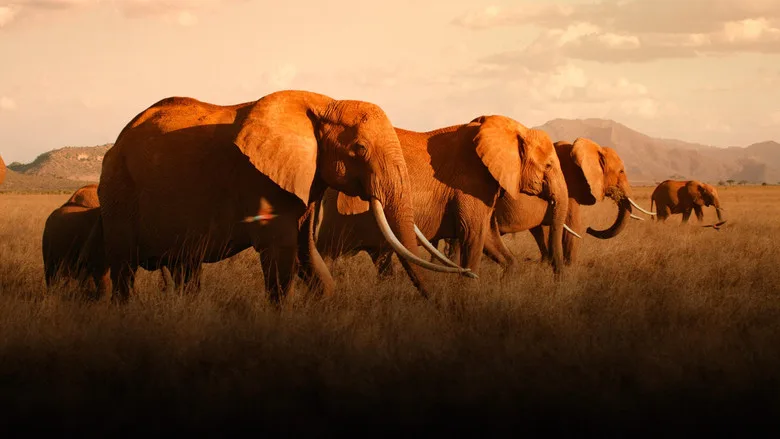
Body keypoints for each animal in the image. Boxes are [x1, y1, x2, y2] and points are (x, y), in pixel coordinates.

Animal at [96, 90, 471, 304]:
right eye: (360, 149)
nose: (441, 306)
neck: (323, 104)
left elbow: (306, 250)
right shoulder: (259, 180)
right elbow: (281, 250)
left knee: (185, 267)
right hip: (119, 190)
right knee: (124, 269)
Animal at [315, 114, 571, 280]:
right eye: (549, 165)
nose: (558, 280)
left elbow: (489, 237)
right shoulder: (469, 182)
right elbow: (474, 235)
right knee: (327, 252)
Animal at [435, 138, 656, 269]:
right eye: (621, 172)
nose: (592, 229)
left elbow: (542, 230)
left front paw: (546, 264)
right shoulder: (569, 188)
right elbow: (571, 230)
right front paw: (568, 269)